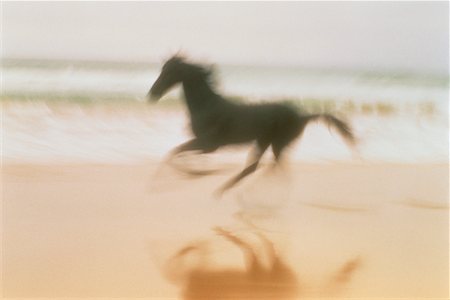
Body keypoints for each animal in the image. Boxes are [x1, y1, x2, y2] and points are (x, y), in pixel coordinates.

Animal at [148, 55, 356, 195]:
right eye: (162, 69)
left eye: (169, 72)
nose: (152, 94)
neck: (206, 105)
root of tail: (302, 116)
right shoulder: (205, 145)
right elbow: (177, 153)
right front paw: (195, 173)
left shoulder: (209, 144)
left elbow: (174, 152)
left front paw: (188, 174)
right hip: (264, 142)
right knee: (258, 168)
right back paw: (229, 192)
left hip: (276, 143)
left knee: (272, 170)